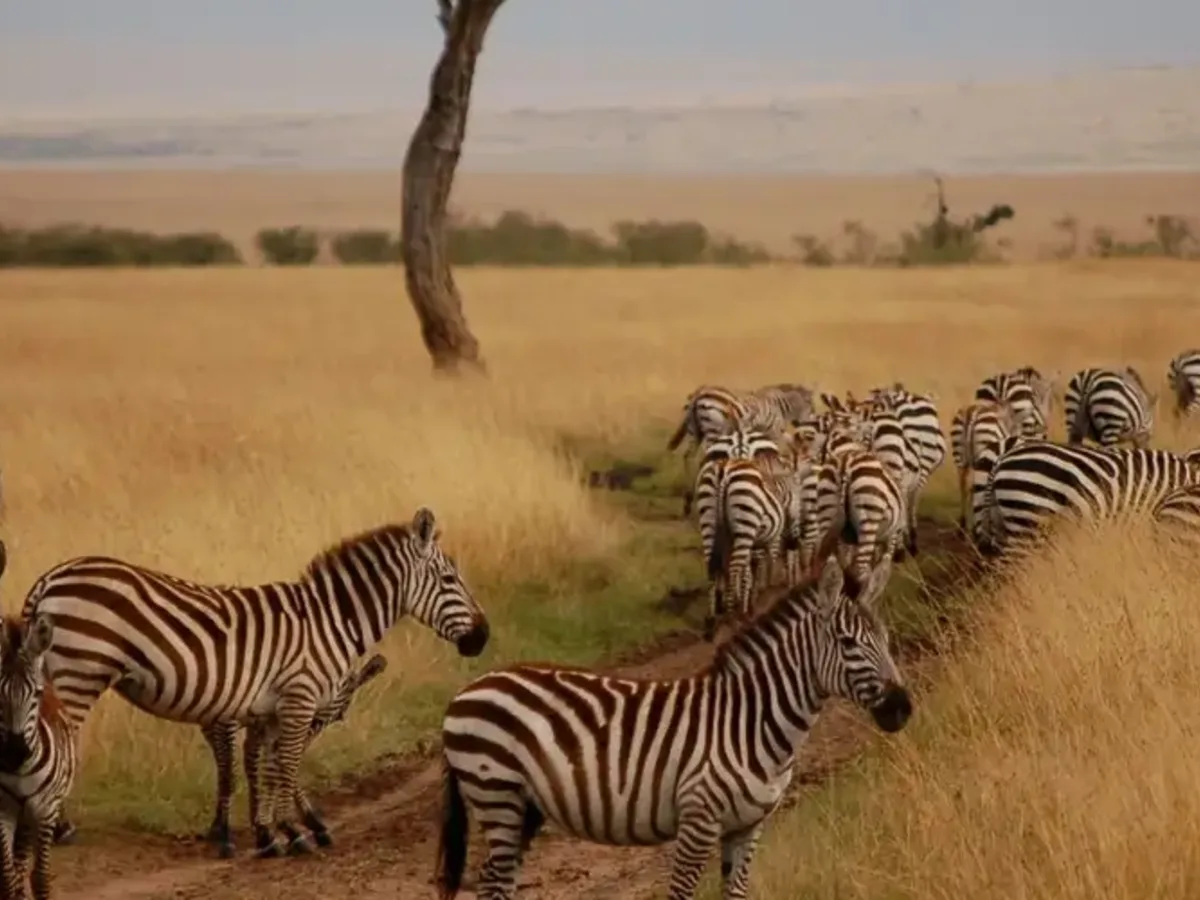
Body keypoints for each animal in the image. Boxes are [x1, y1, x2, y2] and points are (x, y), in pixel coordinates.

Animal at [0, 613, 78, 900]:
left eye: (36, 693)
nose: (15, 753)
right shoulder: (3, 809)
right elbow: (7, 877)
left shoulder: (46, 809)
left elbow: (41, 878)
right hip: (21, 814)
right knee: (16, 869)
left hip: (31, 814)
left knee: (23, 864)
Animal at [434, 562, 912, 900]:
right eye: (848, 643)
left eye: (887, 640)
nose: (903, 710)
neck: (751, 721)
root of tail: (468, 689)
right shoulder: (698, 821)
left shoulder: (748, 829)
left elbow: (736, 894)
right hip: (497, 793)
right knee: (493, 883)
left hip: (522, 807)